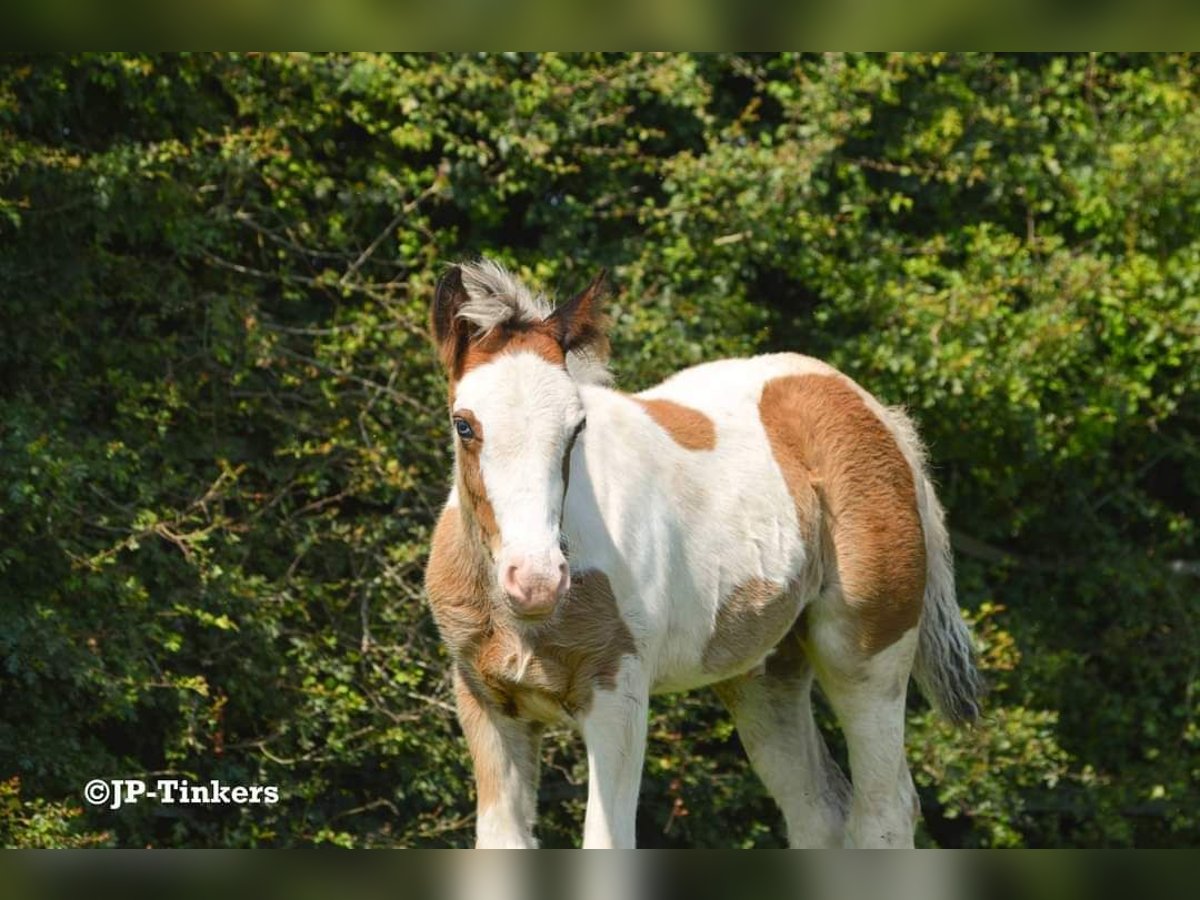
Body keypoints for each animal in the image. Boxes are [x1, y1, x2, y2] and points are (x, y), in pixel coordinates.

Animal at [427, 260, 979, 854]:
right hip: (765, 675)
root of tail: (872, 409)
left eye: (577, 428)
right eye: (464, 424)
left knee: (886, 810)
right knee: (817, 809)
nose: (536, 580)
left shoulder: (617, 694)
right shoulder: (485, 701)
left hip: (867, 655)